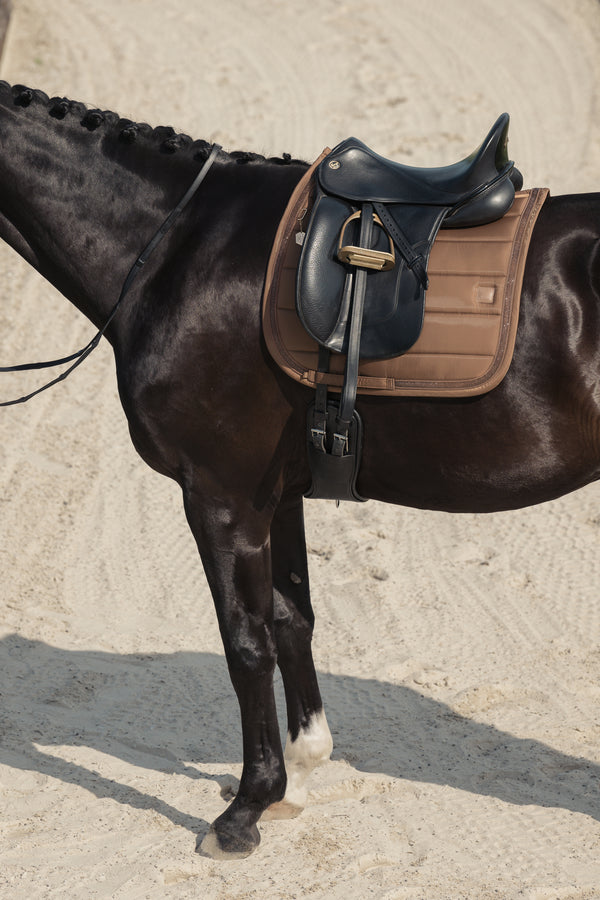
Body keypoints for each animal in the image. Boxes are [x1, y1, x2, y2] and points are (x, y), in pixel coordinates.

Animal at [1, 82, 600, 856]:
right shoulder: (277, 496)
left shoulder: (220, 497)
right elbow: (292, 621)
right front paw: (300, 774)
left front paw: (244, 810)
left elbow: (246, 642)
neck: (174, 247)